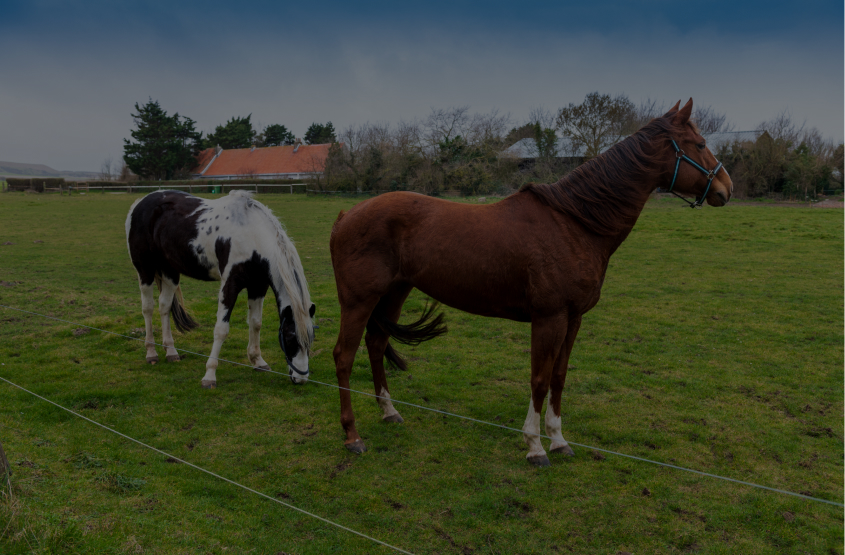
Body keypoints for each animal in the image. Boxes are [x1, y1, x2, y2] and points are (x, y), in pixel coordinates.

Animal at [125, 189, 316, 388]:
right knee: (148, 308)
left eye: (311, 339)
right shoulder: (230, 285)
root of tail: (140, 202)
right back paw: (151, 353)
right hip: (145, 270)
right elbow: (221, 330)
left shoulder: (258, 285)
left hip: (170, 271)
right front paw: (209, 375)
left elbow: (256, 323)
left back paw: (171, 352)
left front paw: (258, 361)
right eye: (290, 337)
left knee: (164, 306)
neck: (251, 235)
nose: (301, 379)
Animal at [328, 99, 733, 465]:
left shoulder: (573, 318)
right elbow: (539, 378)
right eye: (699, 144)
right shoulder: (549, 317)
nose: (726, 188)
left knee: (376, 344)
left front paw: (559, 441)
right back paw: (352, 436)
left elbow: (558, 377)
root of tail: (347, 215)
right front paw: (535, 447)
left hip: (395, 293)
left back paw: (389, 412)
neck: (575, 223)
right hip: (358, 300)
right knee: (344, 356)